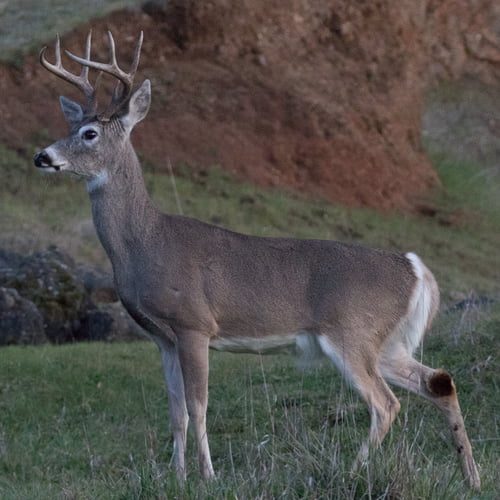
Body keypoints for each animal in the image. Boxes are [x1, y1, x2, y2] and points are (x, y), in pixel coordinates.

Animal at [32, 30, 480, 488]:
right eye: (70, 126)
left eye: (89, 133)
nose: (43, 156)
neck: (146, 244)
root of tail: (416, 269)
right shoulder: (162, 337)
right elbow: (175, 411)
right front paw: (176, 476)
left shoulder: (194, 323)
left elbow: (197, 406)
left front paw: (208, 476)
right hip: (384, 342)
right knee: (439, 382)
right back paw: (471, 477)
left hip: (352, 332)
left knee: (386, 403)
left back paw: (354, 471)